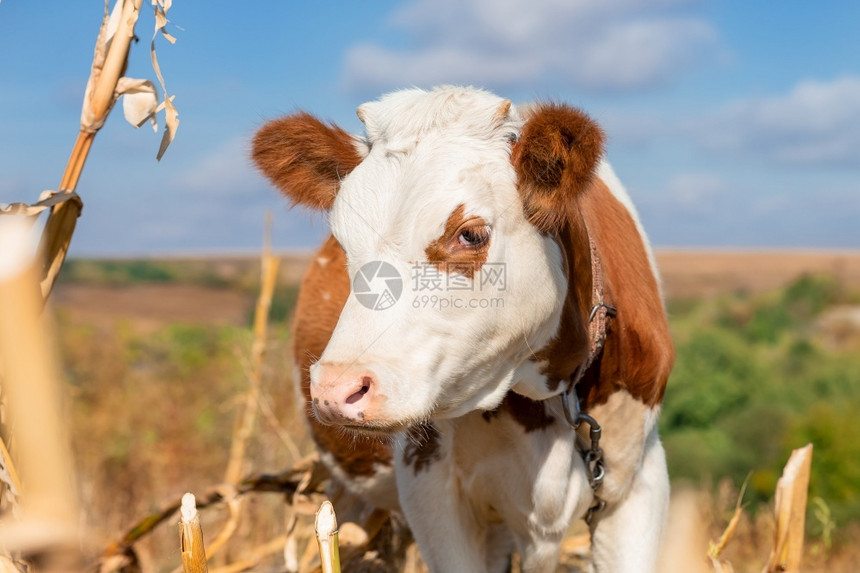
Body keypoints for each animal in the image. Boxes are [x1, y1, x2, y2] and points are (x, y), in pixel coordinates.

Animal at [252, 86, 676, 572]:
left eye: (469, 234)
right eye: (343, 241)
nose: (336, 389)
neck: (547, 389)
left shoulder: (640, 482)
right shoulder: (430, 489)